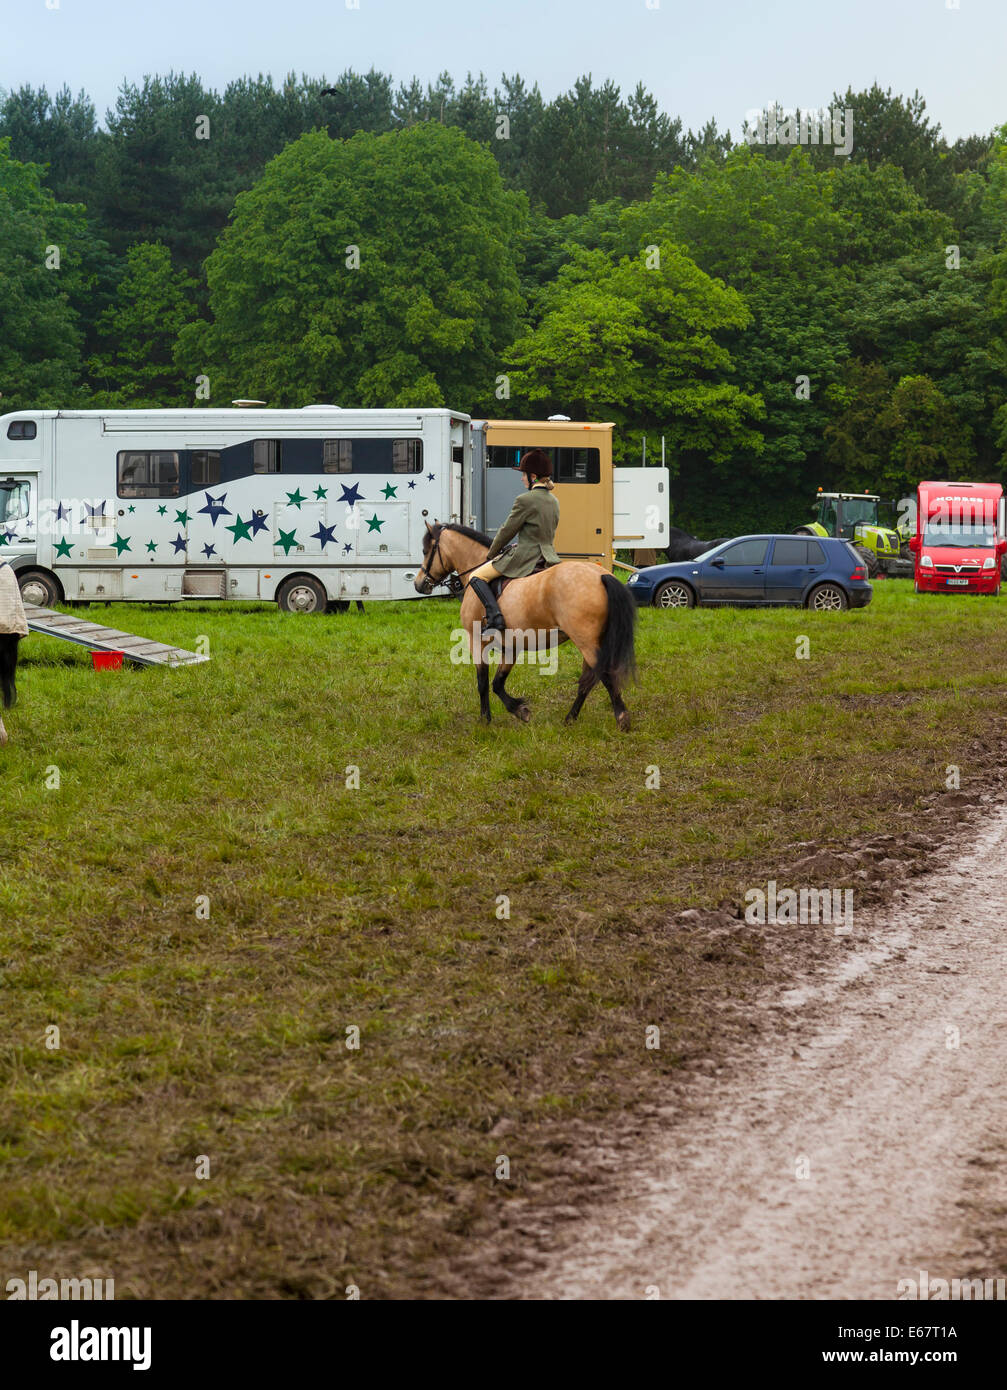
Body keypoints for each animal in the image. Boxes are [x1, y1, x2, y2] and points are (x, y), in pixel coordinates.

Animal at [415, 523, 637, 730]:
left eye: (426, 551)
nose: (419, 584)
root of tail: (601, 575)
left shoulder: (476, 640)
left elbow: (483, 682)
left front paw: (485, 719)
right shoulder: (511, 646)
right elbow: (497, 683)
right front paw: (520, 710)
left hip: (586, 642)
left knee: (603, 674)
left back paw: (622, 718)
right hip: (593, 641)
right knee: (587, 680)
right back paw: (570, 718)